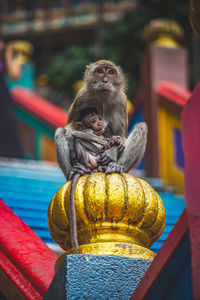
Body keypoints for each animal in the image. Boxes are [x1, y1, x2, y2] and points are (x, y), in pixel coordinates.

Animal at [69, 107, 124, 248]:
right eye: (93, 121)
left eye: (99, 118)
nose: (100, 123)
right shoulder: (88, 130)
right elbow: (78, 134)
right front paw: (108, 141)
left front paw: (115, 139)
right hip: (89, 158)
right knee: (79, 140)